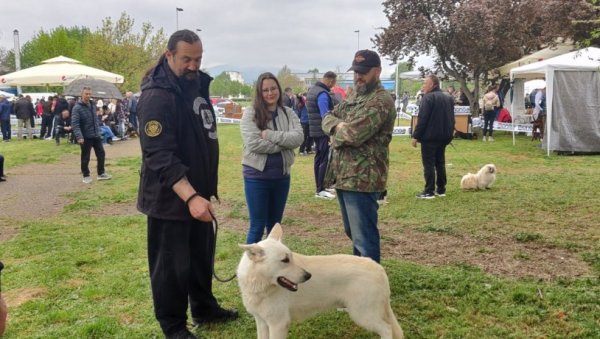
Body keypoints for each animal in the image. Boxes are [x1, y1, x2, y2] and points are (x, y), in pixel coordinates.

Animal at [234, 223, 404, 339]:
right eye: (285, 260)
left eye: (291, 258)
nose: (308, 276)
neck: (260, 285)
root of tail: (378, 267)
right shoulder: (262, 322)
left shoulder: (278, 324)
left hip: (362, 315)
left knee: (387, 329)